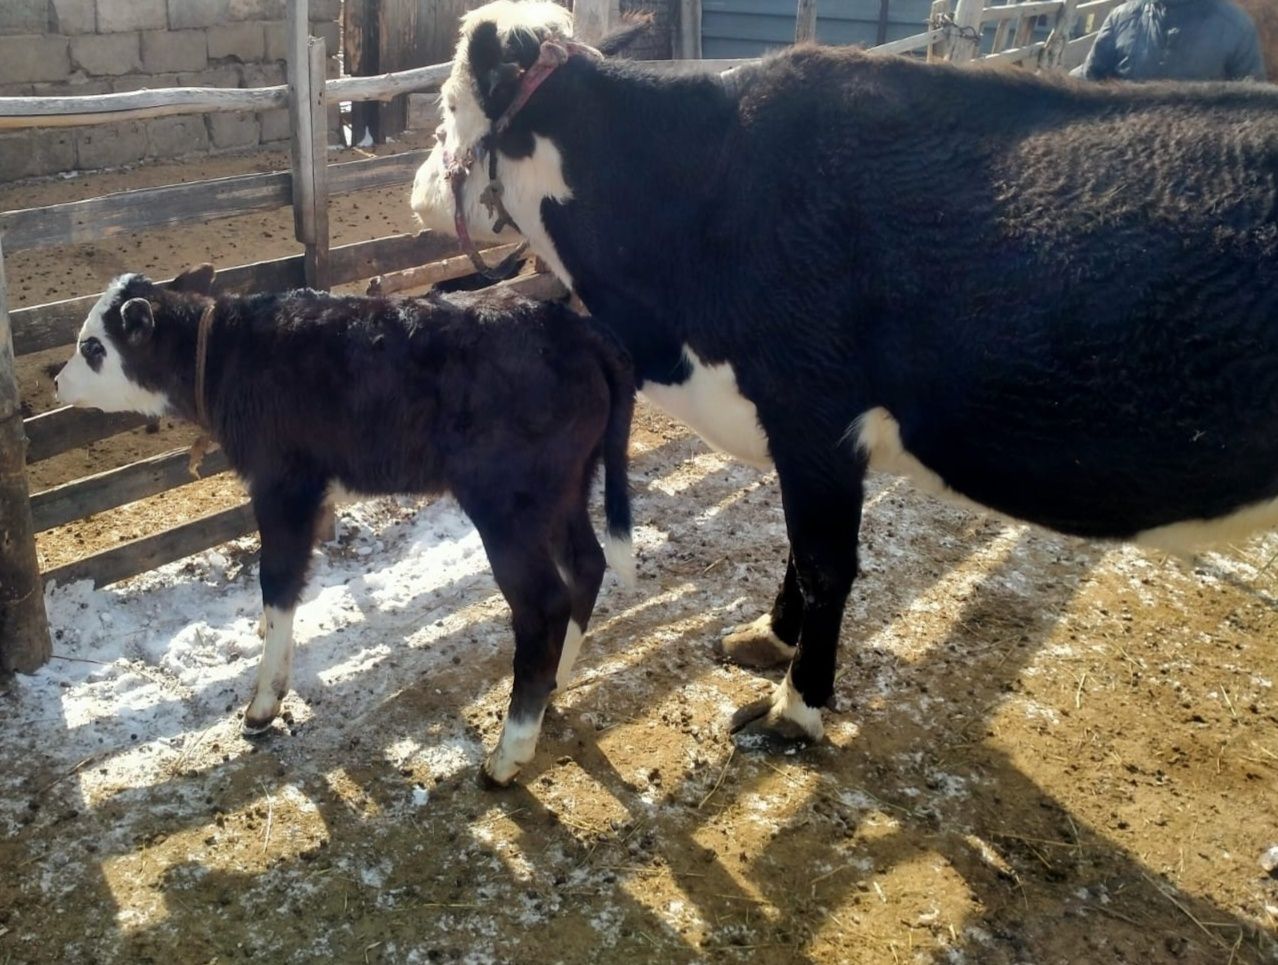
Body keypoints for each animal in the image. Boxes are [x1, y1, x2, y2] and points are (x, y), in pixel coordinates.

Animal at [57, 264, 636, 787]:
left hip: (508, 505)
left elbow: (278, 582)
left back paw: (507, 756)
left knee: (544, 605)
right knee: (586, 564)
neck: (232, 356)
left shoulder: (284, 487)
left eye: (92, 346)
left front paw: (263, 703)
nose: (58, 381)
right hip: (565, 488)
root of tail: (575, 329)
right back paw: (556, 685)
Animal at [406, 0, 1278, 746]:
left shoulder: (814, 413)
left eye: (447, 109)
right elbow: (798, 551)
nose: (416, 196)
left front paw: (797, 705)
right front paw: (767, 636)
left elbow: (826, 561)